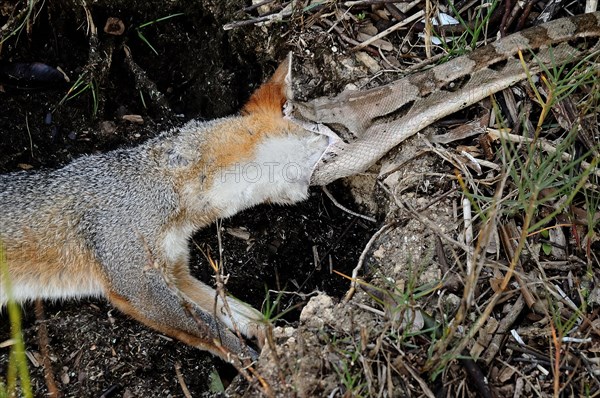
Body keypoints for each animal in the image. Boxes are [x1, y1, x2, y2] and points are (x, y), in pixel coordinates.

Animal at [0, 56, 328, 364]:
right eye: (320, 127)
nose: (332, 138)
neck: (171, 187)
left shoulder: (175, 272)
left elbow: (241, 312)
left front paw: (273, 335)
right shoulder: (139, 286)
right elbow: (215, 331)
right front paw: (260, 367)